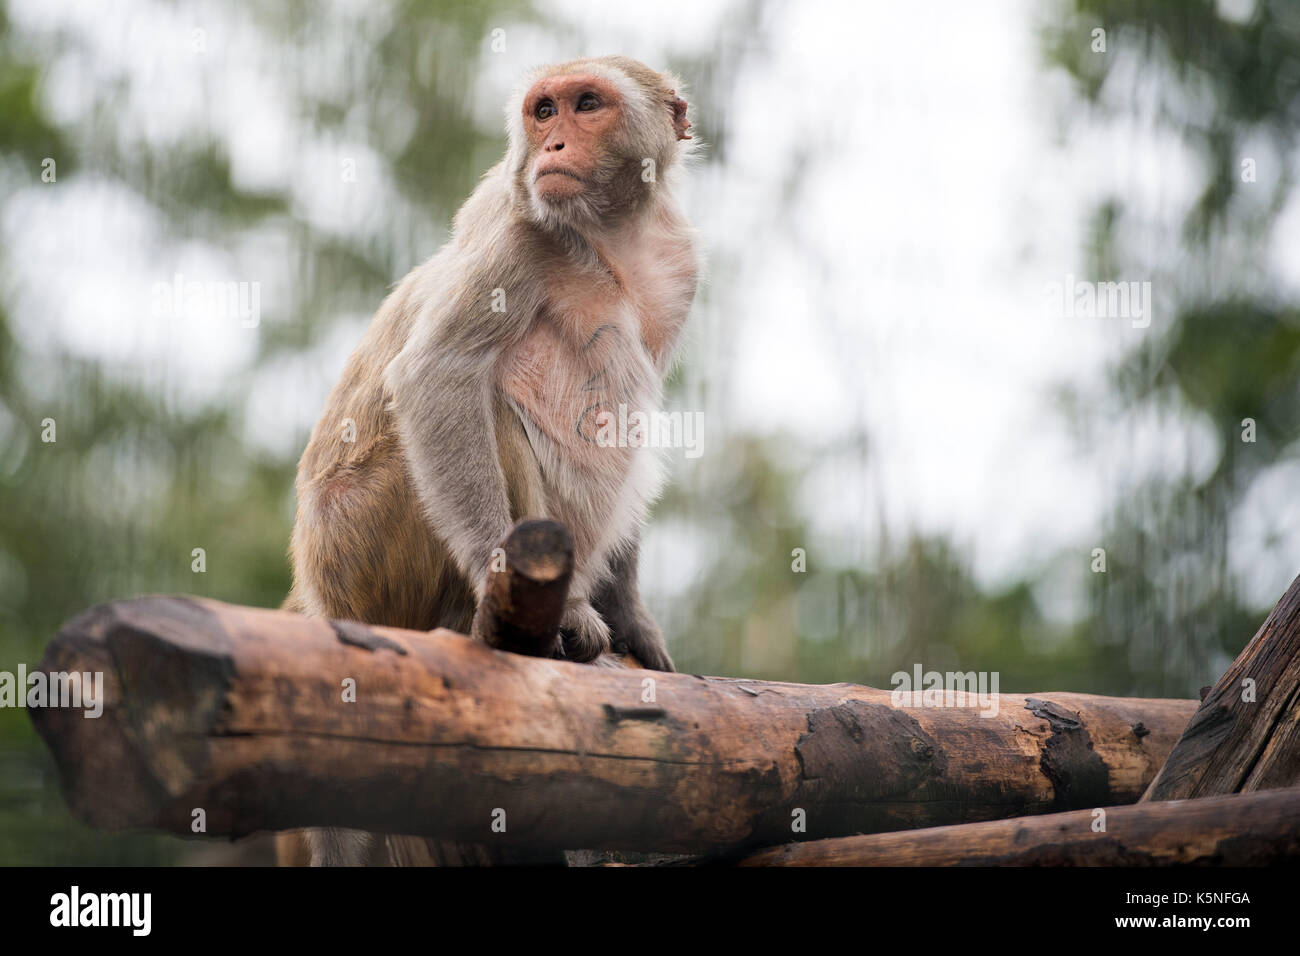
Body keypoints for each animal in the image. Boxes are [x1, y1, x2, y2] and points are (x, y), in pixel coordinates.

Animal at [280, 56, 699, 866]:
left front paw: (633, 618)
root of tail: (318, 594)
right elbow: (436, 373)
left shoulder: (680, 268)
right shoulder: (518, 234)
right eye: (544, 111)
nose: (554, 145)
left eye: (587, 104)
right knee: (489, 408)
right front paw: (493, 577)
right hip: (369, 542)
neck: (610, 240)